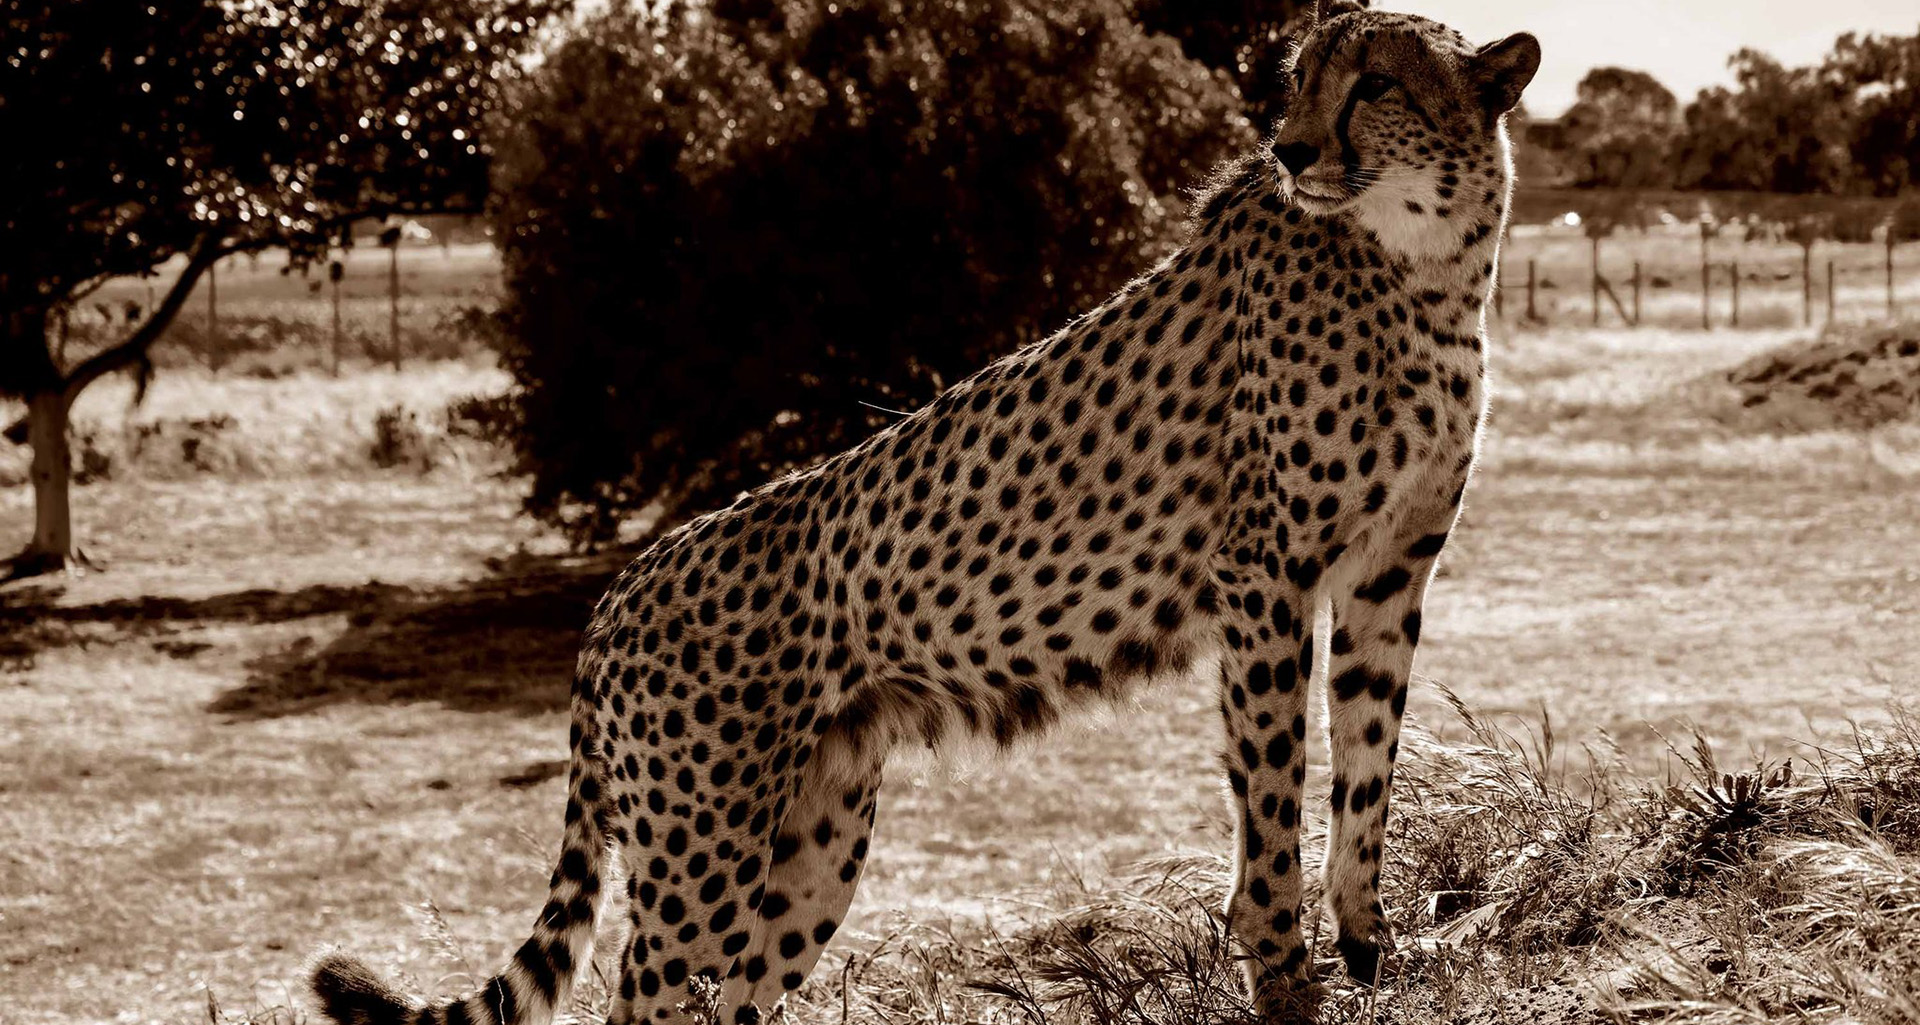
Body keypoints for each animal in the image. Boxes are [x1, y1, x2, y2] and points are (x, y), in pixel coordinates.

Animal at [305, 6, 1539, 1023]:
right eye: (1299, 80)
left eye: (1375, 81)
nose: (1289, 149)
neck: (1424, 263)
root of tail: (614, 597)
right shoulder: (1264, 572)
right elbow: (1273, 781)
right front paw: (1281, 966)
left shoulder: (1390, 569)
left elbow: (1369, 760)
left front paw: (1368, 940)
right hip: (701, 848)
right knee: (645, 989)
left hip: (813, 837)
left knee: (734, 990)